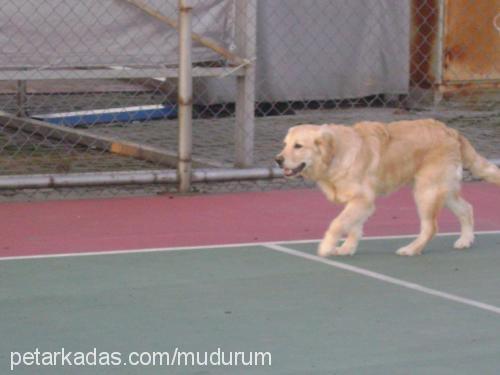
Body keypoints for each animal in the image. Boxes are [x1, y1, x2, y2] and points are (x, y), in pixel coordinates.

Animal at [276, 119, 498, 258]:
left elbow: (337, 224)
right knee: (466, 208)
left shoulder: (363, 199)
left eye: (298, 146)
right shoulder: (360, 202)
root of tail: (452, 132)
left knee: (431, 227)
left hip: (426, 192)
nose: (277, 160)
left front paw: (326, 247)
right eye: (285, 144)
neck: (337, 153)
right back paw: (465, 240)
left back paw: (411, 249)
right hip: (442, 189)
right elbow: (353, 227)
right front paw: (347, 248)